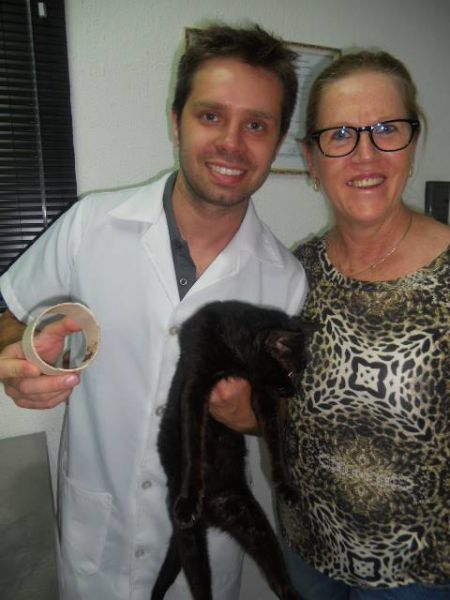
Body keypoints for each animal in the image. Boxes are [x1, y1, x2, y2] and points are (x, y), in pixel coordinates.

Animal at [151, 300, 315, 600]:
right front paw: (189, 498)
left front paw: (284, 484)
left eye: (301, 371)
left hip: (256, 526)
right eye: (290, 372)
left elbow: (275, 440)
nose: (294, 391)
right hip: (190, 541)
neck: (234, 359)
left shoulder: (263, 395)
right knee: (200, 586)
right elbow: (193, 447)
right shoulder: (195, 386)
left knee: (280, 578)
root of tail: (212, 511)